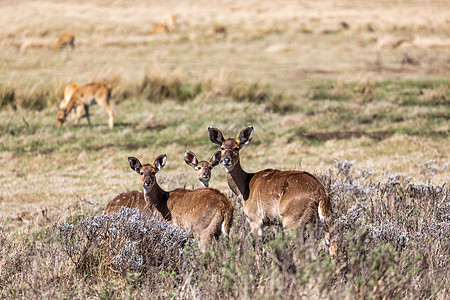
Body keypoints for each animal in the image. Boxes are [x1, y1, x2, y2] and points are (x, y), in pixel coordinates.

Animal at [104, 155, 234, 251]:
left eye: (153, 172)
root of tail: (226, 206)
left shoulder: (171, 226)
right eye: (141, 172)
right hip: (223, 232)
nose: (147, 182)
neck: (160, 203)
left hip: (204, 231)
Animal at [207, 126, 338, 255]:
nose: (226, 160)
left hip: (292, 222)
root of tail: (320, 191)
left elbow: (257, 249)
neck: (246, 186)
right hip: (322, 222)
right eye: (222, 147)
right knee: (332, 245)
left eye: (237, 148)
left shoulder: (255, 220)